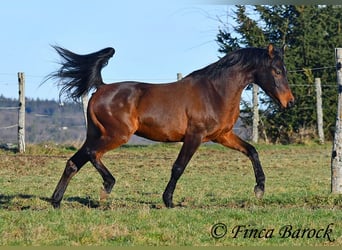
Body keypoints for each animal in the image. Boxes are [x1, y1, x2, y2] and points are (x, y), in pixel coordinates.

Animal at [48, 44, 294, 208]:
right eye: (277, 71)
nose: (289, 102)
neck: (215, 92)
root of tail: (101, 88)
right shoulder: (195, 136)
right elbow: (178, 167)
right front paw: (168, 201)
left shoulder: (222, 135)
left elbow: (252, 150)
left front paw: (259, 189)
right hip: (116, 135)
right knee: (92, 154)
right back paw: (107, 185)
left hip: (97, 134)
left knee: (74, 162)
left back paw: (56, 202)